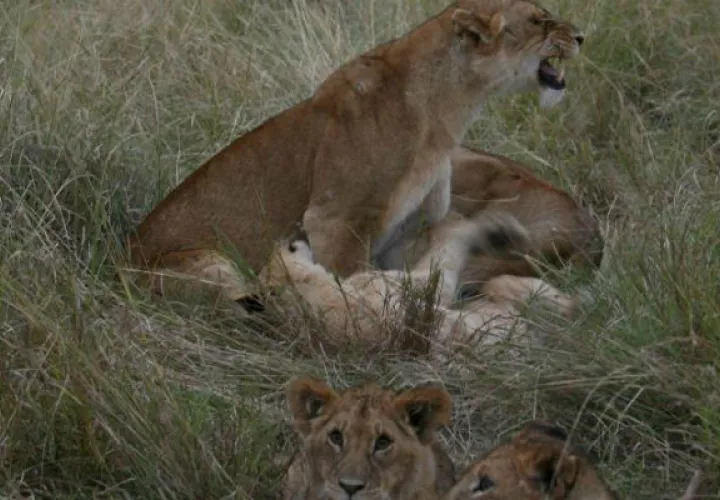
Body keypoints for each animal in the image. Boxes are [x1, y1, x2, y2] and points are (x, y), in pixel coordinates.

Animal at [127, 0, 585, 304]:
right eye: (539, 20)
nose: (581, 36)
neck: (448, 112)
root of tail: (123, 258)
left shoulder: (409, 226)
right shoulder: (336, 220)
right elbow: (351, 284)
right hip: (210, 265)